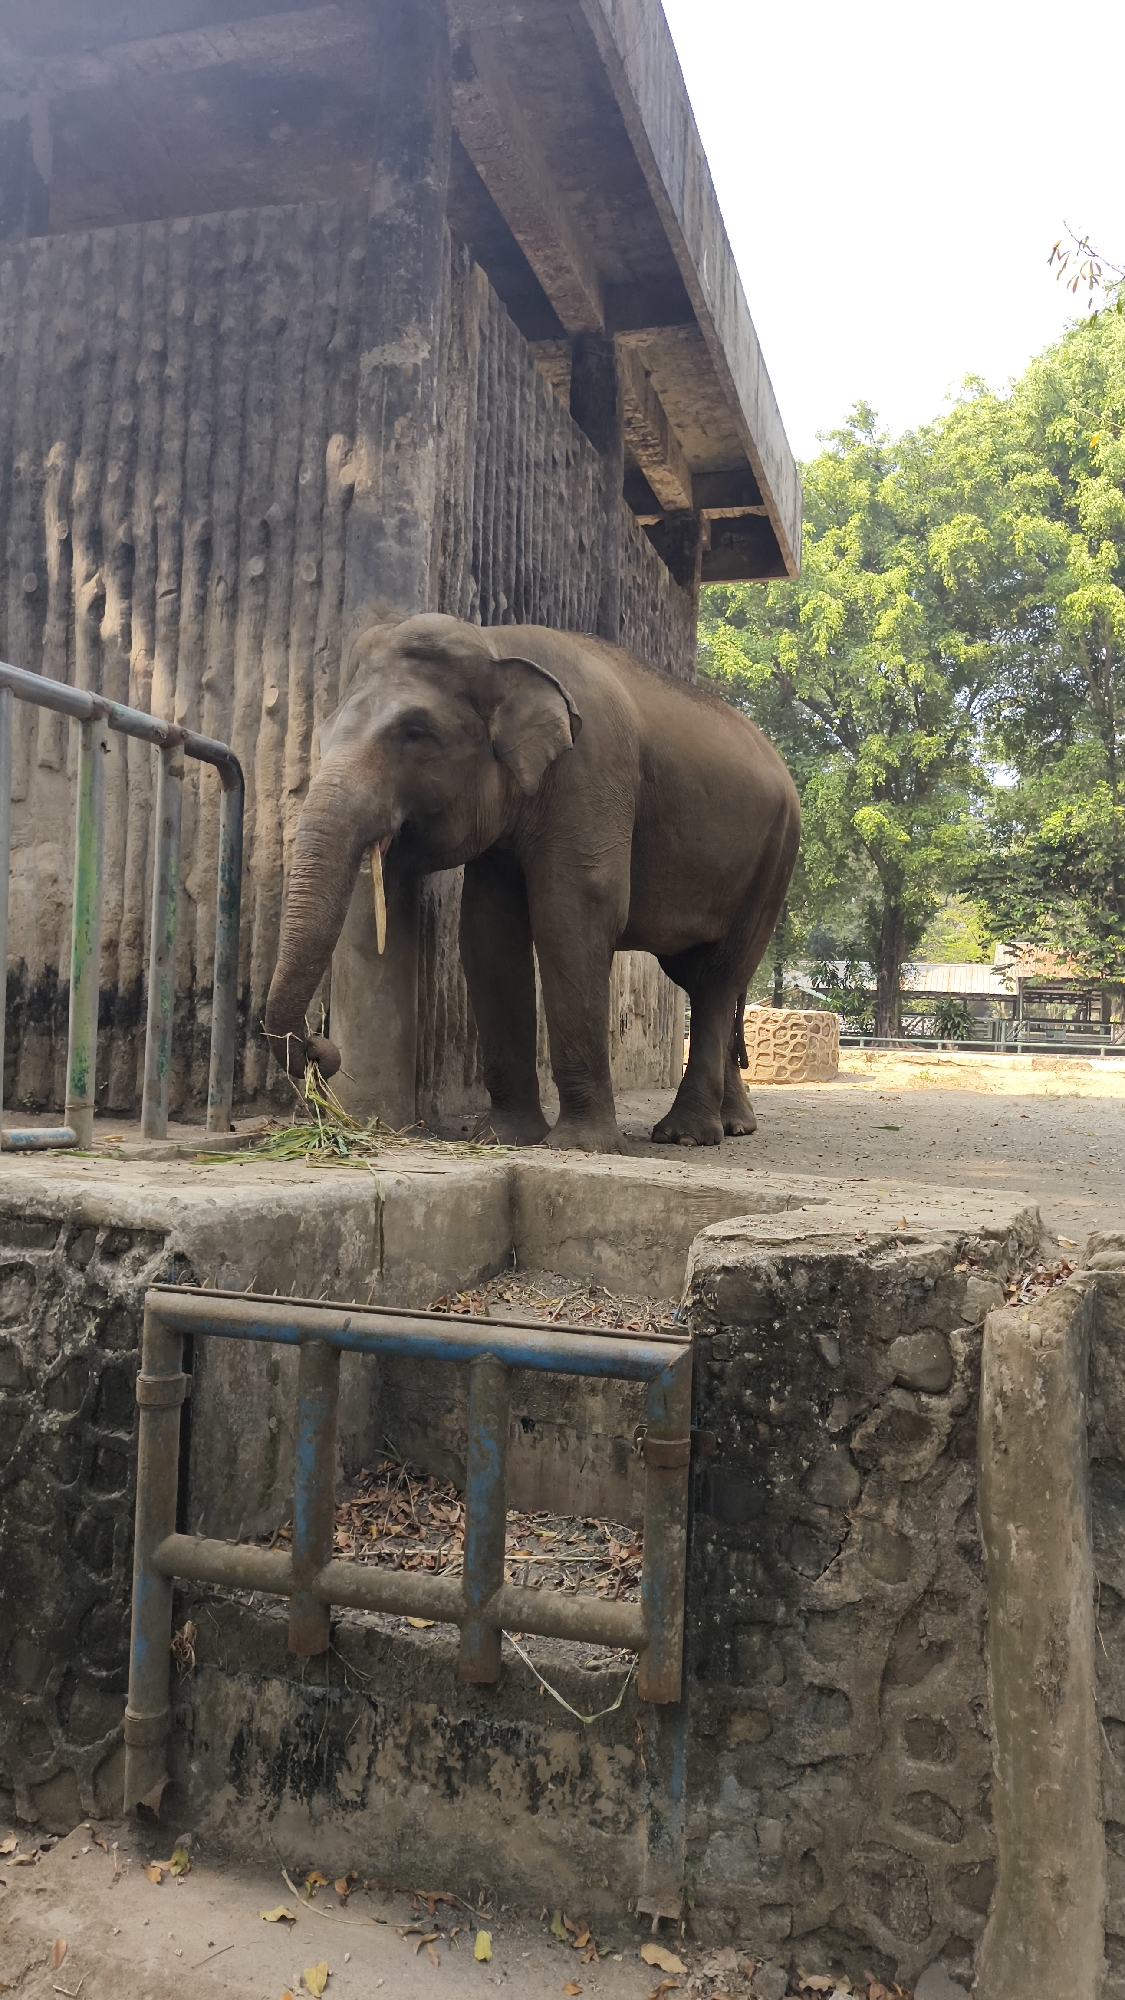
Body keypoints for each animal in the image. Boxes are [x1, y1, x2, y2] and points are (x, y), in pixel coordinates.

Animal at [264, 612, 800, 1152]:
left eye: (414, 733)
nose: (320, 1049)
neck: (495, 644)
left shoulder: (591, 771)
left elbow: (571, 916)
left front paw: (581, 1146)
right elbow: (488, 932)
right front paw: (504, 1138)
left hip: (776, 858)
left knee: (717, 977)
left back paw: (685, 1136)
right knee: (700, 975)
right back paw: (733, 1124)